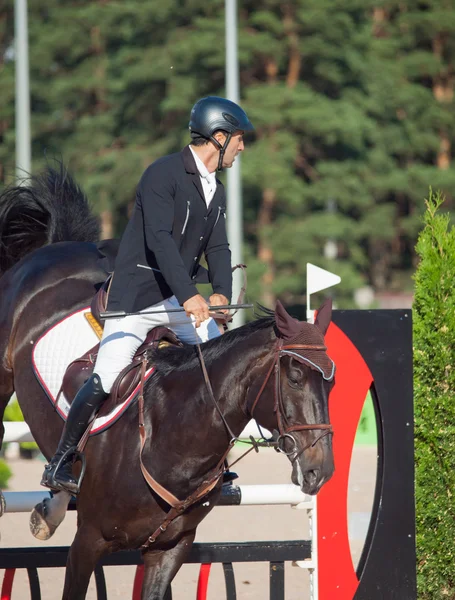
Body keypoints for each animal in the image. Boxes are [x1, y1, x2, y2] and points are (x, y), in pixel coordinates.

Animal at [0, 165, 334, 600]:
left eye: (330, 381)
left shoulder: (170, 547)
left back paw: (50, 510)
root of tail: (55, 248)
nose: (320, 471)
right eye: (294, 376)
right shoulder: (87, 543)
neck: (173, 438)